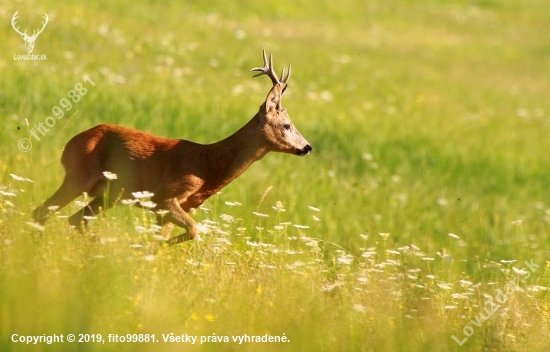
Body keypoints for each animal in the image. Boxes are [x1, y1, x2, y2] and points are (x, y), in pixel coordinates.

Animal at [33, 50, 310, 245]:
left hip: (108, 194)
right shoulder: (164, 196)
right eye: (287, 125)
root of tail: (70, 143)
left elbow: (163, 240)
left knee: (74, 219)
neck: (207, 166)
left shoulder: (169, 208)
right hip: (80, 176)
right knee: (42, 211)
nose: (307, 147)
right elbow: (194, 230)